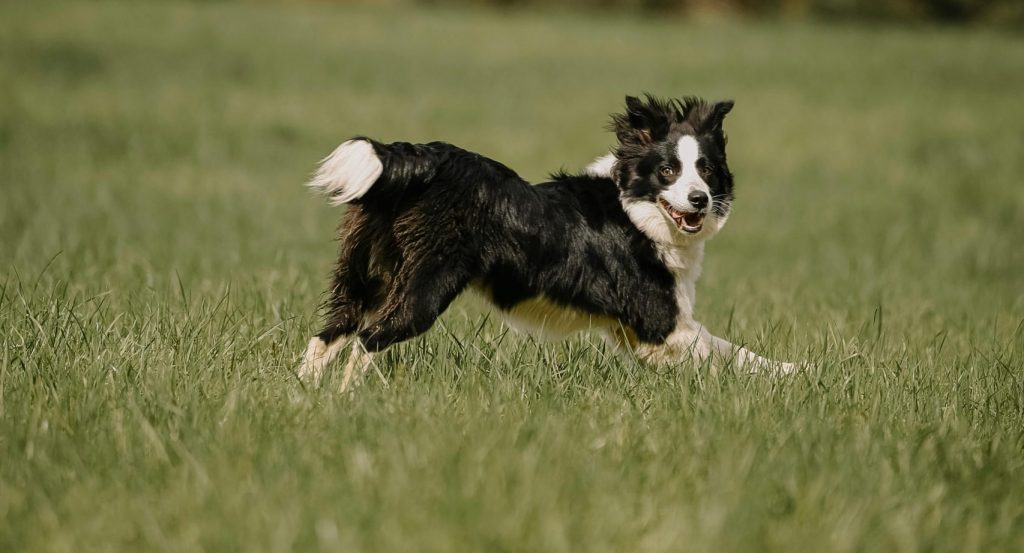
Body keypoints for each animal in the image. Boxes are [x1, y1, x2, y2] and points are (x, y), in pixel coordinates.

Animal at [299, 94, 794, 389]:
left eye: (707, 170)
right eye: (668, 171)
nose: (699, 199)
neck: (636, 210)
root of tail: (420, 158)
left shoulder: (634, 331)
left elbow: (726, 348)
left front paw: (793, 372)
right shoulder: (658, 321)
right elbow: (725, 350)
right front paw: (791, 376)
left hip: (365, 274)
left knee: (332, 332)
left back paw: (307, 396)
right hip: (425, 284)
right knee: (369, 338)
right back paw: (351, 398)